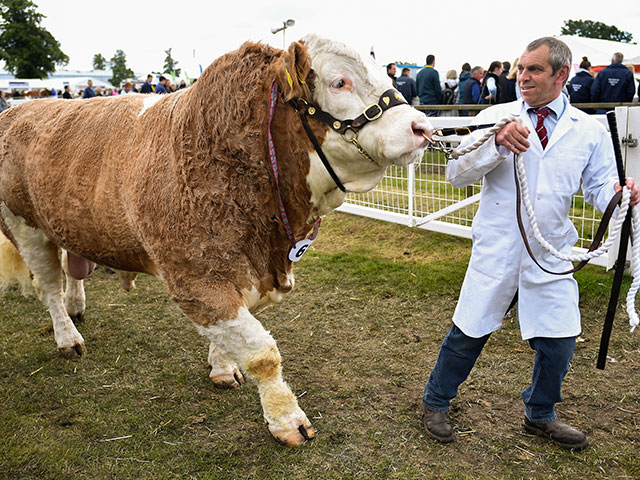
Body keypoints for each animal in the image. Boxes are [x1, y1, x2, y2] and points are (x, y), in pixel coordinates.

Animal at [0, 36, 432, 446]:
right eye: (339, 81)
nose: (423, 127)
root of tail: (21, 109)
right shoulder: (194, 277)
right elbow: (261, 352)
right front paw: (287, 420)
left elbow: (232, 335)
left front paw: (222, 368)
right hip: (25, 226)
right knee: (48, 287)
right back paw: (68, 338)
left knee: (72, 269)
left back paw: (76, 306)